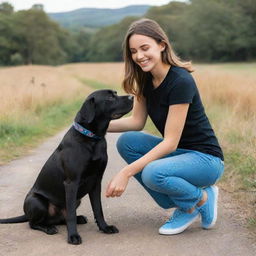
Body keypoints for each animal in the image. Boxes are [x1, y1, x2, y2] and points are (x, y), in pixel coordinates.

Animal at [0, 89, 134, 244]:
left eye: (115, 93)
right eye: (110, 97)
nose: (133, 97)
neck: (92, 139)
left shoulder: (96, 181)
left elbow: (98, 209)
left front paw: (105, 227)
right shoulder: (71, 183)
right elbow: (70, 214)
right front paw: (73, 236)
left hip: (77, 199)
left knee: (61, 218)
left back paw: (79, 218)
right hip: (36, 201)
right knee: (33, 223)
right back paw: (48, 228)